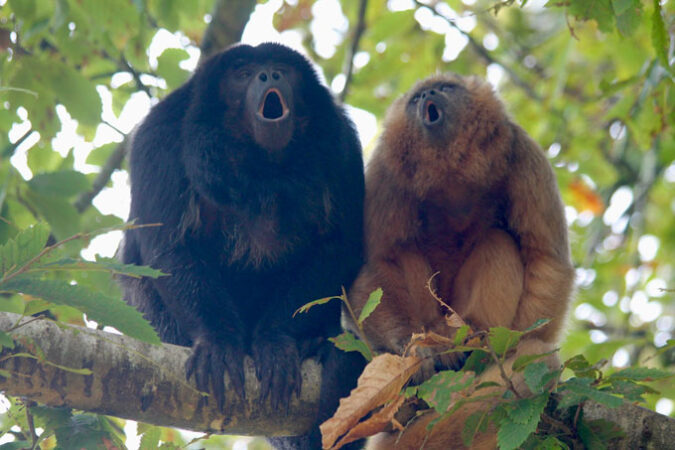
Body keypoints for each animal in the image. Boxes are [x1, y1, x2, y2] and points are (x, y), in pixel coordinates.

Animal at [119, 43, 368, 450]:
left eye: (282, 68)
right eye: (244, 73)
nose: (269, 75)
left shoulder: (341, 145)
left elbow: (337, 247)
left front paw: (277, 341)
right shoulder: (159, 139)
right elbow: (169, 250)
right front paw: (218, 341)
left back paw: (315, 343)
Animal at [348, 75, 576, 448]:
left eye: (445, 87)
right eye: (416, 99)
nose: (428, 94)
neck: (450, 169)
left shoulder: (523, 153)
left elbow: (546, 258)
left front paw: (512, 354)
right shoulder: (384, 170)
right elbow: (377, 265)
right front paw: (408, 351)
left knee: (499, 241)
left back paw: (476, 340)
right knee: (405, 255)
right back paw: (430, 346)